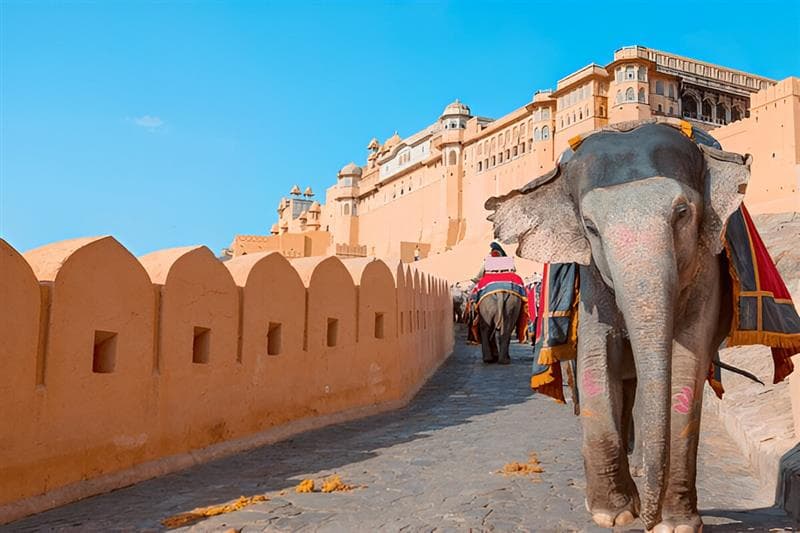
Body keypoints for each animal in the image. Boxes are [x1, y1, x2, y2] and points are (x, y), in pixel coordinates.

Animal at [486, 121, 751, 532]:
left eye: (681, 213)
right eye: (590, 227)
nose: (648, 520)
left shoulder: (707, 264)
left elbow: (685, 367)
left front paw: (676, 523)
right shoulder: (590, 277)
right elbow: (597, 361)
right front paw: (613, 513)